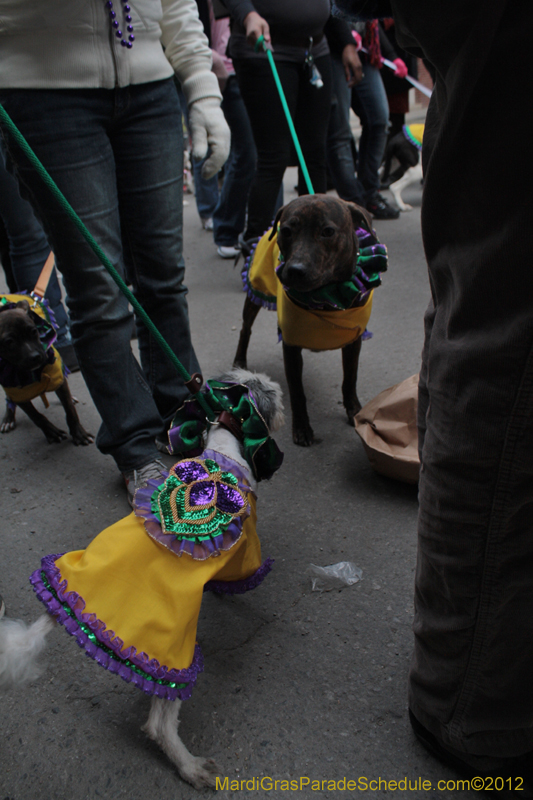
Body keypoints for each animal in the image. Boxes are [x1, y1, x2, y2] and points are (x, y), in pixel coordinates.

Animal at [0, 298, 93, 446]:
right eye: (9, 342)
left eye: (33, 331)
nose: (35, 357)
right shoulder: (16, 391)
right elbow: (36, 416)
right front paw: (52, 432)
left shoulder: (58, 378)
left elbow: (70, 410)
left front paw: (79, 433)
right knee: (9, 399)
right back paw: (8, 418)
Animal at [234, 194, 382, 444]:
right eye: (286, 231)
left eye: (328, 231)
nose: (295, 270)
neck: (326, 295)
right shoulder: (291, 347)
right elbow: (297, 392)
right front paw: (302, 427)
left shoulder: (354, 341)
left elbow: (350, 379)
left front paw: (354, 410)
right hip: (255, 289)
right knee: (246, 329)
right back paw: (239, 360)